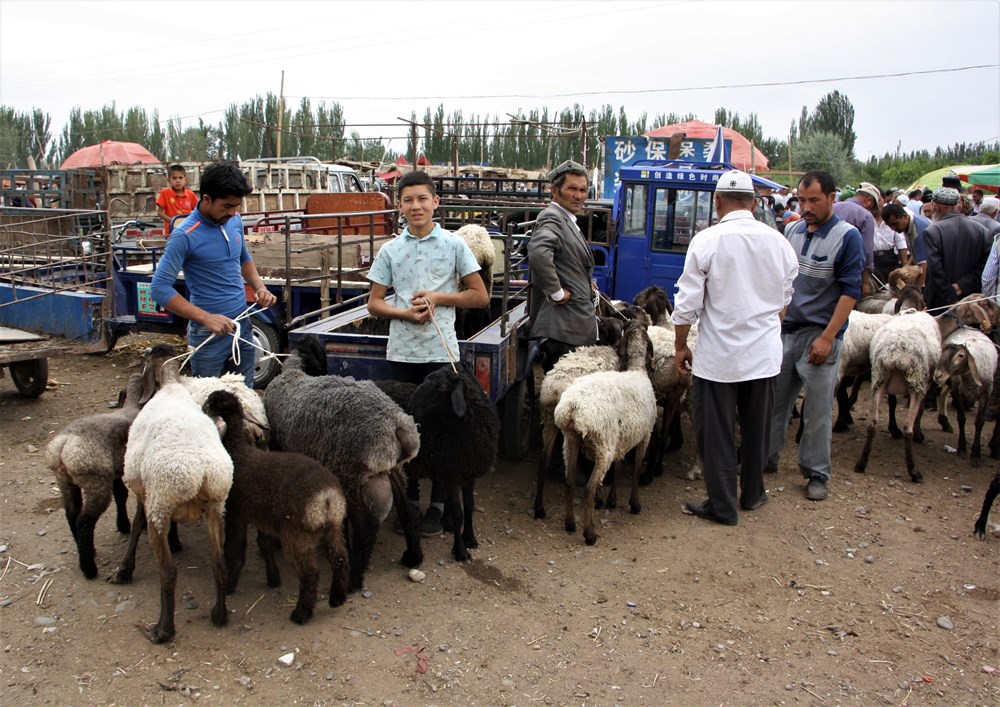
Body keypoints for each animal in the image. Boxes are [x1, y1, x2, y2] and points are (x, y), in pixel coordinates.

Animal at [201, 390, 350, 624]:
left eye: (211, 403)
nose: (200, 408)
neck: (237, 450)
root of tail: (326, 497)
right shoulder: (262, 517)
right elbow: (265, 544)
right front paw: (273, 578)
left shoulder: (236, 514)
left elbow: (236, 551)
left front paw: (232, 584)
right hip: (334, 527)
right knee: (341, 559)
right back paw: (336, 599)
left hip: (296, 534)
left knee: (310, 574)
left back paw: (300, 614)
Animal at [556, 320, 656, 548]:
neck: (637, 370)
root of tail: (573, 408)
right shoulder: (645, 435)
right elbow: (636, 468)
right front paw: (634, 504)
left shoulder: (622, 439)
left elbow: (618, 468)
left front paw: (613, 499)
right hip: (603, 446)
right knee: (589, 489)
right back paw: (589, 534)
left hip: (571, 441)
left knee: (569, 481)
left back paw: (570, 524)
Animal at [856, 312, 940, 484]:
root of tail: (897, 354)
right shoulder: (926, 383)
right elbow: (920, 410)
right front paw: (919, 434)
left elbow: (893, 403)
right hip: (916, 381)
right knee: (907, 427)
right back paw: (914, 472)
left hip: (879, 379)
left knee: (873, 423)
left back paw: (862, 463)